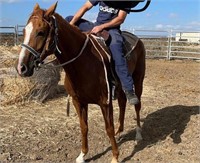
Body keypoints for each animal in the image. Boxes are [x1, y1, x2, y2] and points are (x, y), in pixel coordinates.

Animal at [15, 2, 145, 163]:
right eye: (24, 31)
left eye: (41, 32)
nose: (21, 67)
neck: (83, 61)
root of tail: (137, 39)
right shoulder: (78, 101)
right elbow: (84, 127)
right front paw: (82, 155)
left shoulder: (105, 102)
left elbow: (108, 128)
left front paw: (115, 156)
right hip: (120, 87)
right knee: (122, 103)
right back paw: (120, 131)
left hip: (138, 80)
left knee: (137, 105)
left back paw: (138, 133)